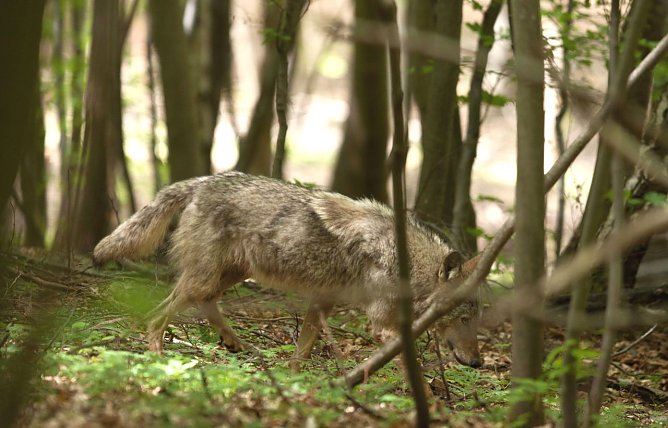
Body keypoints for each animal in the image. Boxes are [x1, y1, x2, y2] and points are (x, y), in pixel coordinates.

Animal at [93, 172, 481, 369]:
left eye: (472, 319)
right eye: (462, 318)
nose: (478, 364)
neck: (404, 259)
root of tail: (200, 181)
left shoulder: (323, 302)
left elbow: (302, 350)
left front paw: (299, 383)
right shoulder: (381, 324)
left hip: (229, 276)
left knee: (205, 305)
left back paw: (237, 345)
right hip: (205, 279)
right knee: (158, 315)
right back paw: (159, 360)